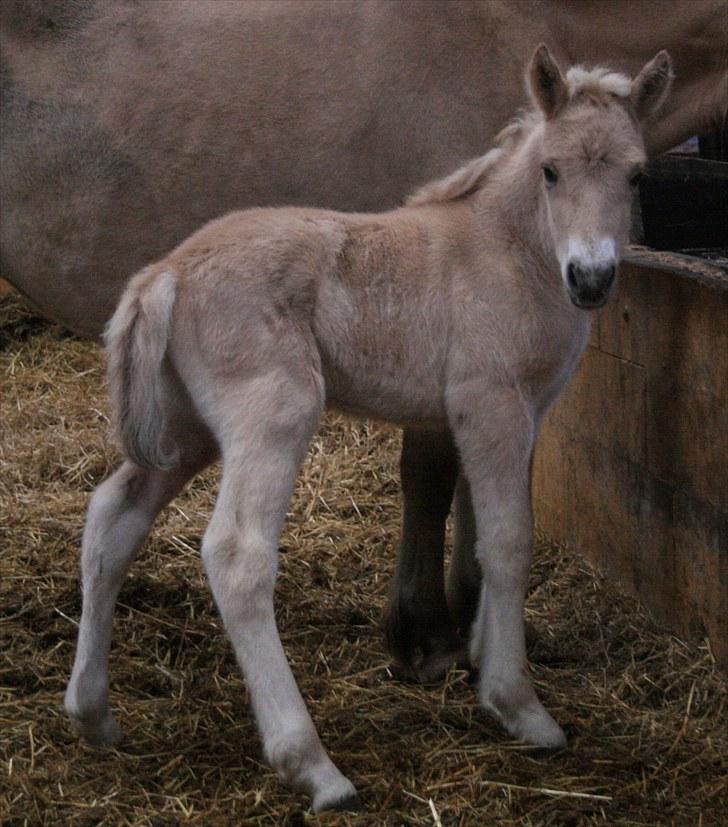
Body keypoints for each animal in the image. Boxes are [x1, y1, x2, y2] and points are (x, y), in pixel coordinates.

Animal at [67, 43, 672, 808]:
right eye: (552, 170)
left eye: (636, 173)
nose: (590, 278)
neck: (507, 248)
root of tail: (165, 273)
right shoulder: (491, 402)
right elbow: (509, 541)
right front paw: (518, 705)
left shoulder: (516, 411)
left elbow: (481, 529)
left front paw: (476, 655)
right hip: (274, 410)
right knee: (236, 554)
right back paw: (313, 764)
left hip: (184, 431)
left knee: (112, 516)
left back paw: (93, 712)